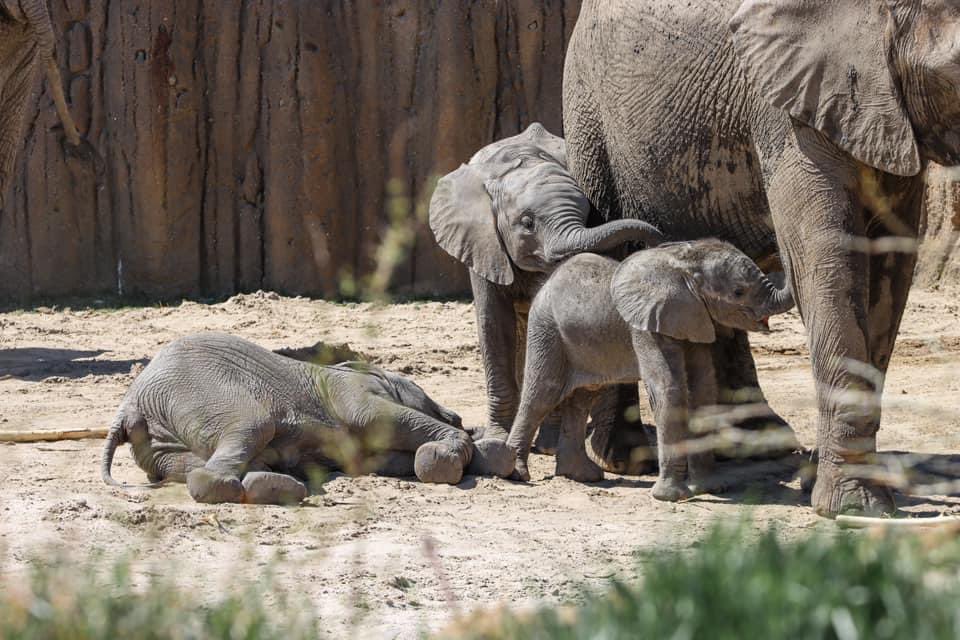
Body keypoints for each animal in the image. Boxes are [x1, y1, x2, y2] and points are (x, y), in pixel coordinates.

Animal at [101, 332, 512, 502]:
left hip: (159, 445)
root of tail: (128, 407)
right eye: (424, 393)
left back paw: (277, 487)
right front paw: (447, 458)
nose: (458, 416)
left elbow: (375, 458)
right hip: (201, 391)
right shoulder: (349, 392)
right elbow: (372, 417)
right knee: (251, 427)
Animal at [506, 240, 792, 500]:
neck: (684, 265)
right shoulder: (646, 327)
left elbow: (703, 390)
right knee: (542, 395)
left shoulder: (695, 319)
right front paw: (671, 497)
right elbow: (669, 389)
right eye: (738, 291)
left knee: (584, 397)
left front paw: (710, 489)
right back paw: (517, 474)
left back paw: (582, 476)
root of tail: (547, 283)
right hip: (547, 330)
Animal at [564, 0, 960, 516]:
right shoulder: (791, 106)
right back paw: (631, 459)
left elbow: (888, 268)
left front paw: (825, 484)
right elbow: (827, 260)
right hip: (591, 118)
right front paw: (854, 507)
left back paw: (754, 444)